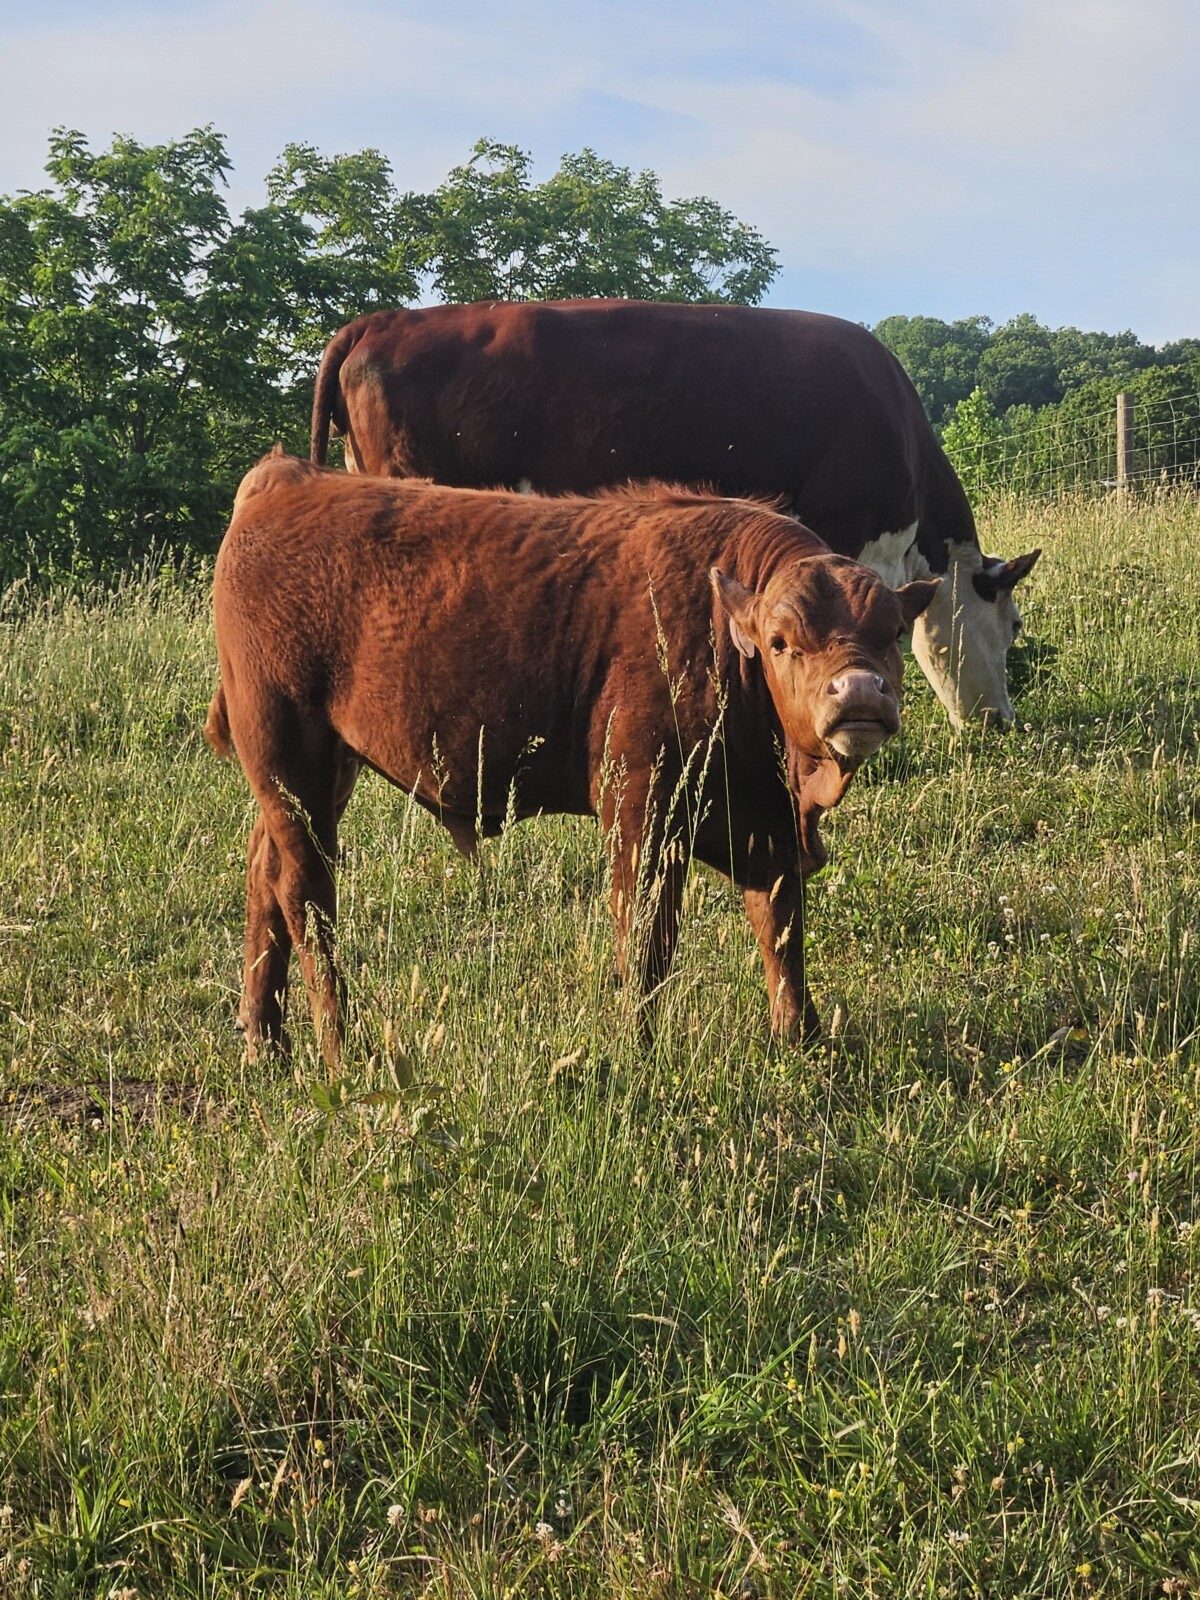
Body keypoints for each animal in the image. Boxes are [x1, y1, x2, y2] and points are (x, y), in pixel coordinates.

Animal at [206, 451, 938, 1067]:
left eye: (891, 633)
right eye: (782, 640)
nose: (859, 693)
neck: (720, 636)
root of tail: (285, 479)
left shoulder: (768, 824)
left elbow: (781, 926)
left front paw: (801, 1037)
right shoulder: (643, 816)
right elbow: (646, 940)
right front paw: (640, 1050)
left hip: (322, 773)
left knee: (265, 874)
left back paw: (264, 1041)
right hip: (288, 761)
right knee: (306, 894)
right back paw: (336, 1047)